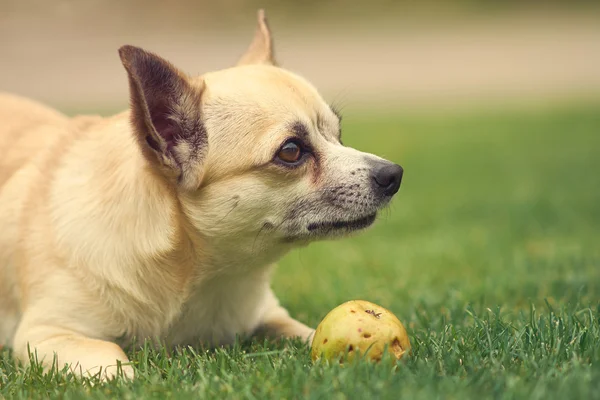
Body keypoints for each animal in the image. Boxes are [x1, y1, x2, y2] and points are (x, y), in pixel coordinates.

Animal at [1, 10, 404, 382]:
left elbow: (305, 334)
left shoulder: (270, 315)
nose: (393, 175)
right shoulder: (48, 335)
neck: (198, 274)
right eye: (291, 151)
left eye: (338, 134)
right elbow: (117, 366)